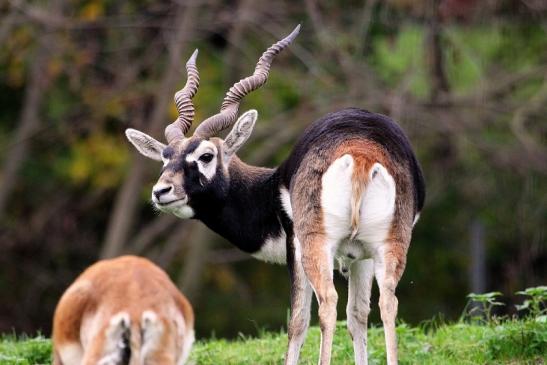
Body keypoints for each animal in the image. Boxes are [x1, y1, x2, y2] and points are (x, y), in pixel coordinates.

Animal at [126, 24, 426, 364]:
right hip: (388, 245)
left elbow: (297, 321)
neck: (271, 188)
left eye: (206, 156)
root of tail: (361, 153)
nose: (161, 191)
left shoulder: (294, 244)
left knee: (325, 304)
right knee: (388, 302)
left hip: (316, 245)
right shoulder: (359, 255)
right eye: (165, 157)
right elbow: (358, 317)